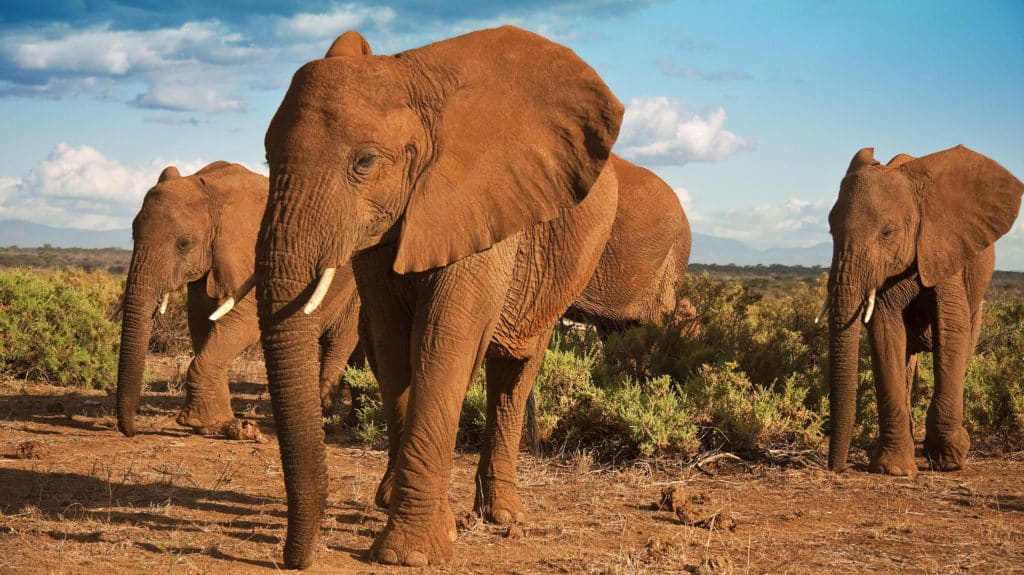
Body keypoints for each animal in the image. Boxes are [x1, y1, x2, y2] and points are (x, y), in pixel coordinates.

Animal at [115, 161, 362, 438]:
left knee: (339, 341)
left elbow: (243, 323)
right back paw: (352, 422)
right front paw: (217, 425)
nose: (132, 430)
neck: (213, 191)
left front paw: (198, 422)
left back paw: (326, 421)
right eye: (133, 235)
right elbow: (201, 323)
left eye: (184, 244)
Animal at [255, 27, 623, 568]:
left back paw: (502, 515)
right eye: (266, 158)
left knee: (514, 370)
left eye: (364, 162)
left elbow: (444, 341)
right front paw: (412, 518)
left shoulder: (481, 206)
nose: (291, 560)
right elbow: (392, 346)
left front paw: (408, 555)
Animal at [822, 145, 1023, 475]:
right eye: (830, 230)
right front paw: (893, 469)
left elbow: (952, 328)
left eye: (887, 232)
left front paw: (950, 458)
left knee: (966, 342)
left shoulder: (943, 248)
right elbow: (885, 332)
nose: (837, 468)